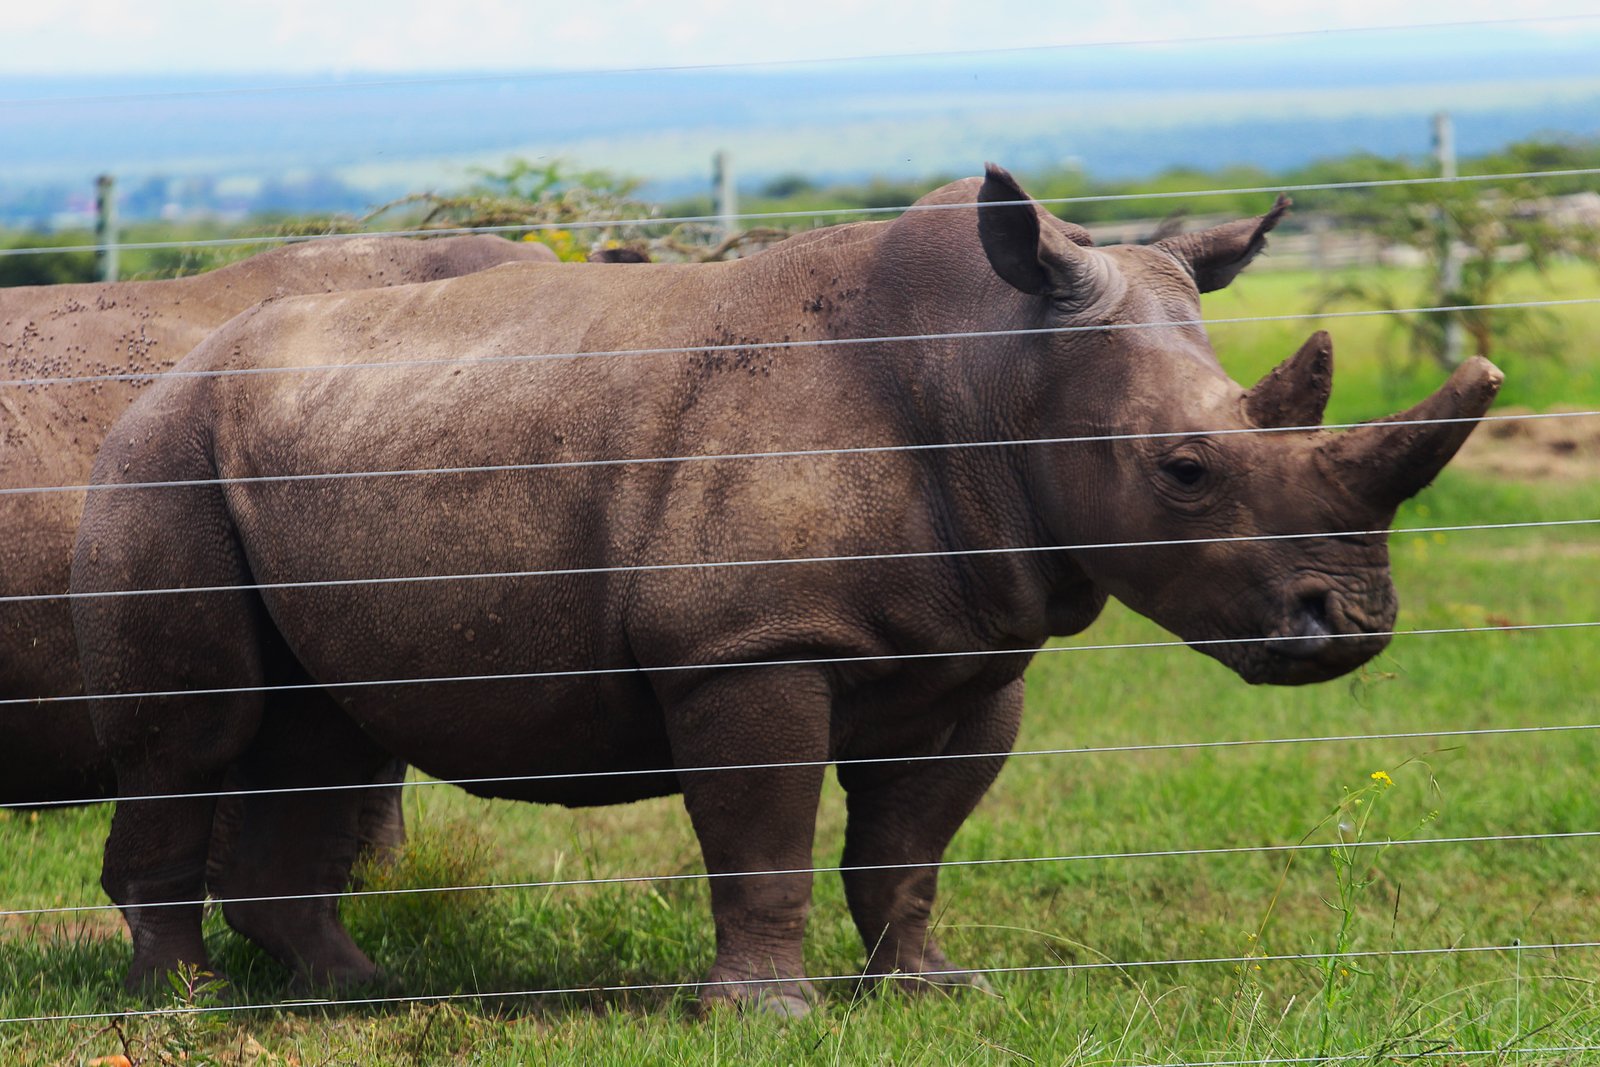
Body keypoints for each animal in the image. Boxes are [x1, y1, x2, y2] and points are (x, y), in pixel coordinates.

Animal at [70, 166, 1500, 1010]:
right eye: (1185, 472)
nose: (1349, 628)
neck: (991, 366)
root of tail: (174, 358)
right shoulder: (745, 642)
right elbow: (763, 834)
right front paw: (765, 1010)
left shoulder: (978, 646)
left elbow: (909, 843)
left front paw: (933, 988)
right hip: (163, 454)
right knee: (200, 728)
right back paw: (184, 1004)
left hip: (299, 445)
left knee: (317, 725)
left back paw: (357, 995)